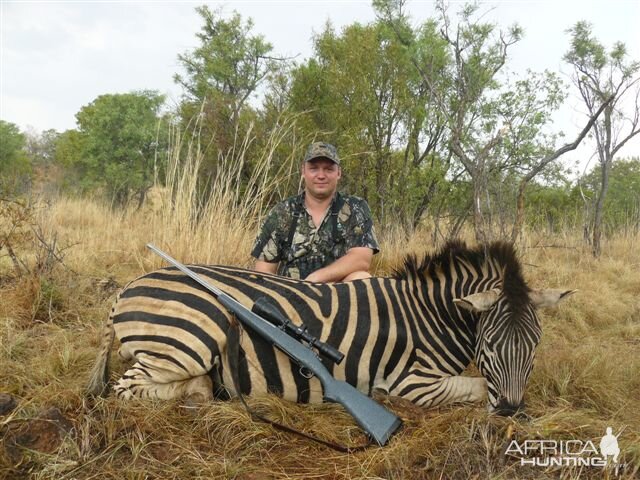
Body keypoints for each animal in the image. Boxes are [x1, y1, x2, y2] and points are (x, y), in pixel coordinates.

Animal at [86, 240, 576, 416]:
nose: (511, 413)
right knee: (122, 389)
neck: (430, 315)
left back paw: (200, 391)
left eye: (535, 345)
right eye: (489, 345)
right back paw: (195, 395)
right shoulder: (411, 382)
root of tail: (127, 287)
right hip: (189, 340)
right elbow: (473, 386)